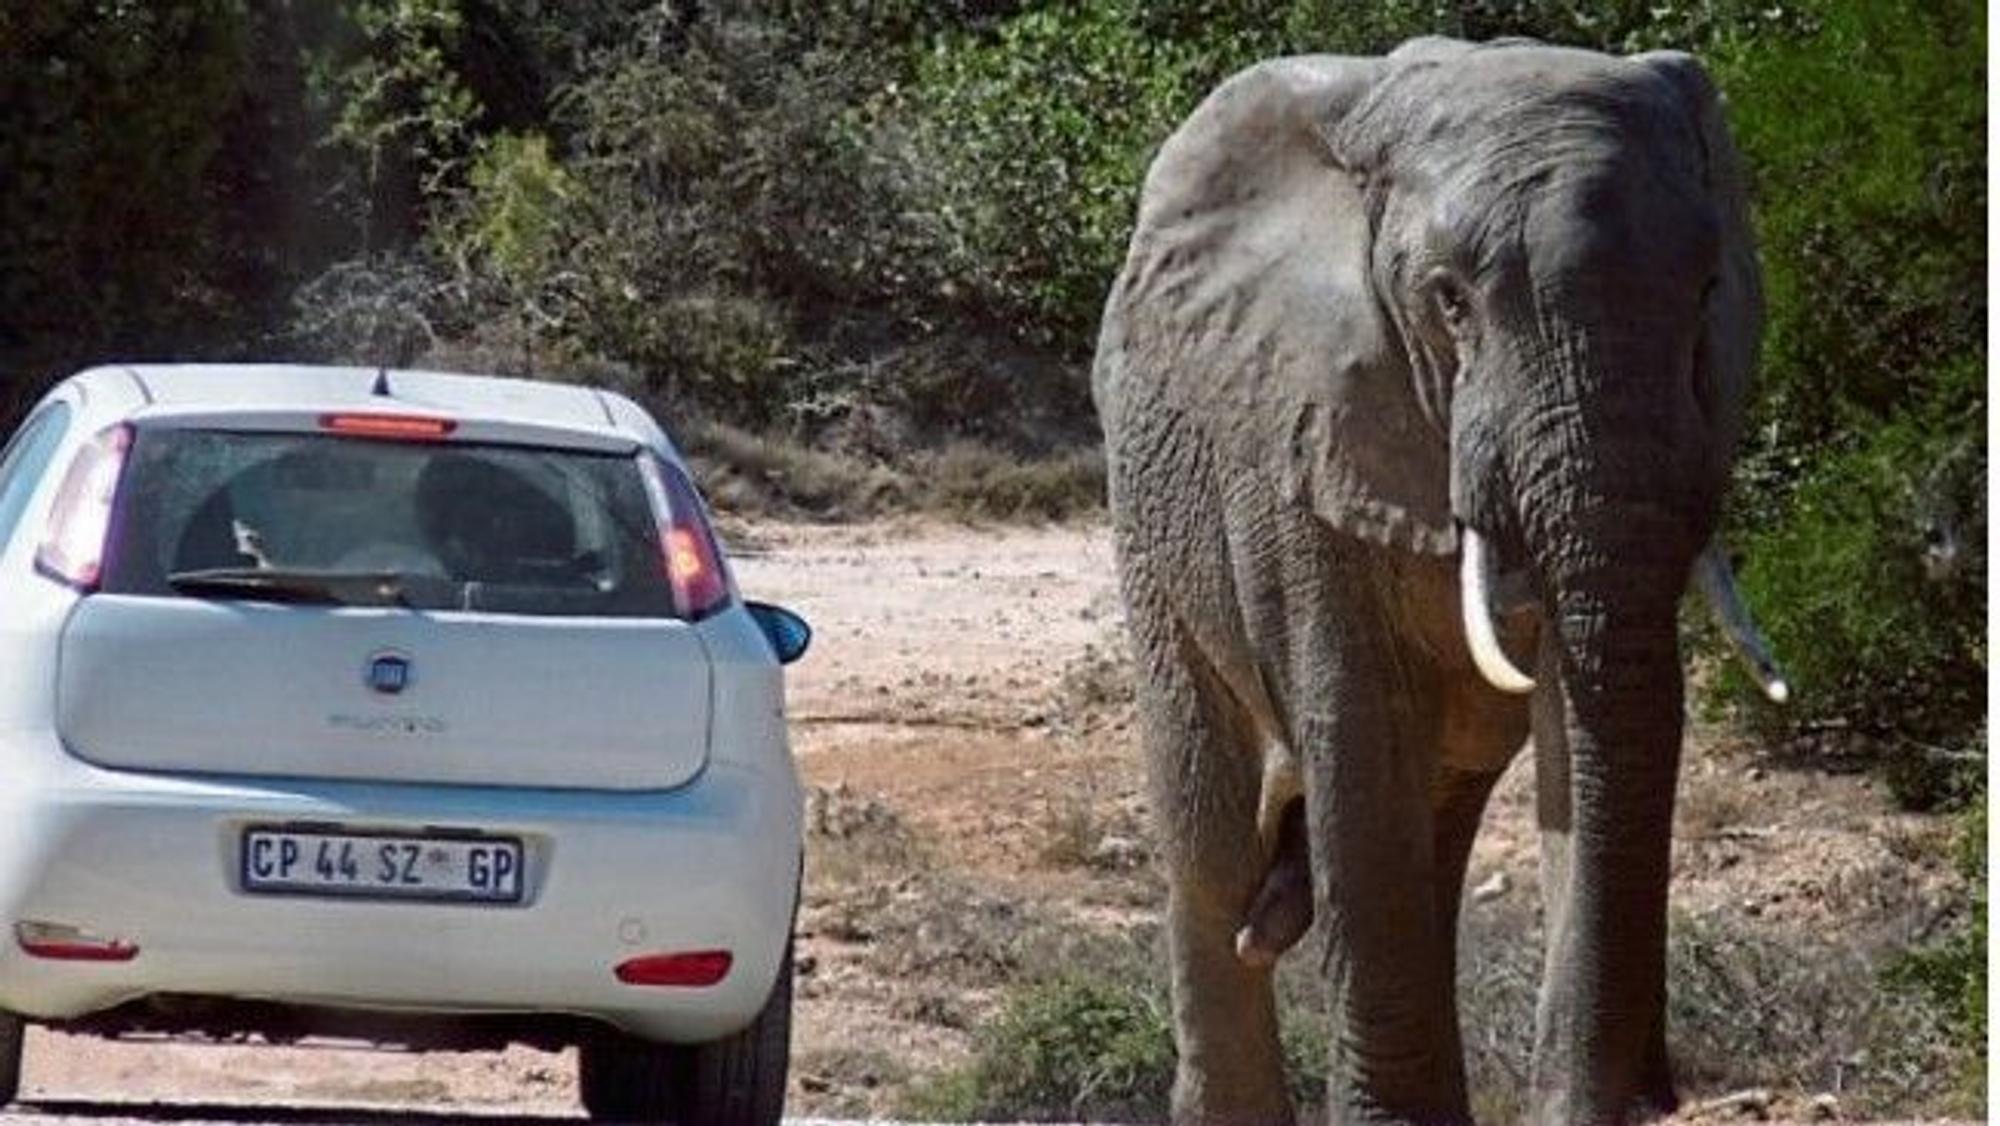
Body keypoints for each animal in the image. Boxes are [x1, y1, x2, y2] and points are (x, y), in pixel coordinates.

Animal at [1092, 37, 1789, 1125]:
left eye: (1709, 289)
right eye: (1449, 301)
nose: (1644, 1096)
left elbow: (1579, 728)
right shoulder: (1299, 435)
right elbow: (1356, 737)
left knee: (1432, 821)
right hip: (1148, 509)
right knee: (1212, 838)